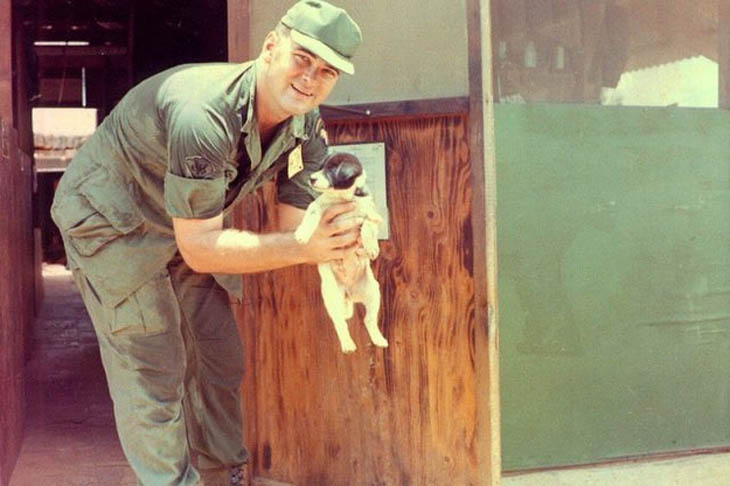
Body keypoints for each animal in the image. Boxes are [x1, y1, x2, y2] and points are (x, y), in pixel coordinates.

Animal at [294, 152, 390, 354]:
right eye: (320, 167)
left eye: (331, 169)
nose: (311, 178)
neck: (342, 198)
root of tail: (349, 294)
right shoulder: (318, 207)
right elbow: (310, 215)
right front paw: (303, 233)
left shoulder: (373, 216)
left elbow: (367, 226)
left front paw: (370, 247)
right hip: (332, 298)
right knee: (339, 323)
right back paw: (347, 344)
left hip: (373, 292)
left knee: (369, 320)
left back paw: (379, 339)